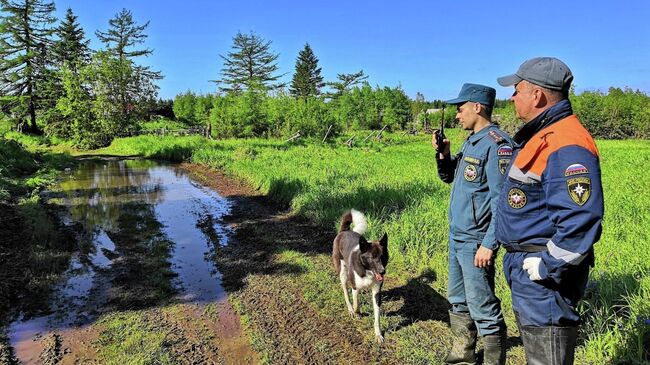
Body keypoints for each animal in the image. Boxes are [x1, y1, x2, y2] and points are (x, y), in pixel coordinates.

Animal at [332, 209, 388, 342]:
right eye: (372, 257)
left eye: (383, 257)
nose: (382, 271)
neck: (367, 271)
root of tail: (344, 231)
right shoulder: (355, 287)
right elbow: (356, 303)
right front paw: (357, 312)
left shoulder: (376, 292)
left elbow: (377, 316)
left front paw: (378, 334)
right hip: (343, 273)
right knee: (346, 292)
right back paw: (350, 310)